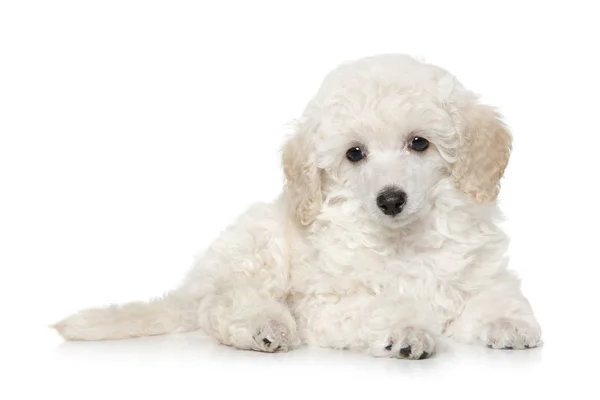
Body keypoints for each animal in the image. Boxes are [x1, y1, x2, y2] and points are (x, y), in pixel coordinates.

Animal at [54, 54, 540, 360]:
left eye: (419, 143)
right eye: (354, 154)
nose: (390, 199)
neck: (404, 239)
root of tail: (192, 287)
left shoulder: (478, 273)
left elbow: (497, 295)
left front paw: (509, 324)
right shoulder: (327, 303)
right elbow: (380, 306)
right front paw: (406, 330)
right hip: (256, 249)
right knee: (223, 305)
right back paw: (266, 327)